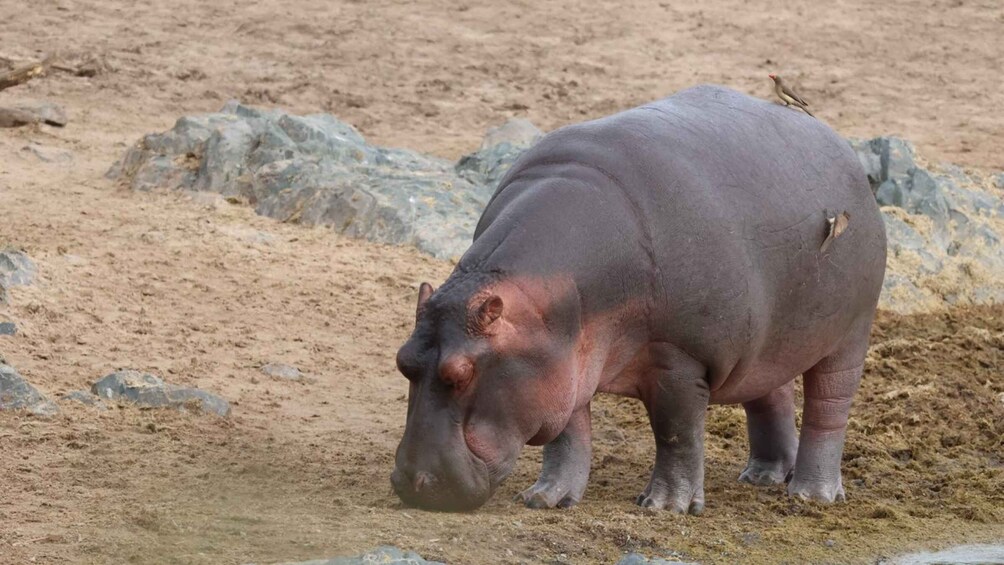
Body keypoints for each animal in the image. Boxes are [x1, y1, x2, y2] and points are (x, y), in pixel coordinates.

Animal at [391, 84, 887, 514]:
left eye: (461, 374)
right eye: (402, 361)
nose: (411, 482)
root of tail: (841, 146)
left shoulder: (679, 358)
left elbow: (675, 433)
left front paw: (665, 507)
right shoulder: (567, 361)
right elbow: (568, 435)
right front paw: (546, 499)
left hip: (850, 333)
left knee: (829, 408)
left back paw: (811, 495)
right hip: (767, 341)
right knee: (771, 393)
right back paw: (763, 477)